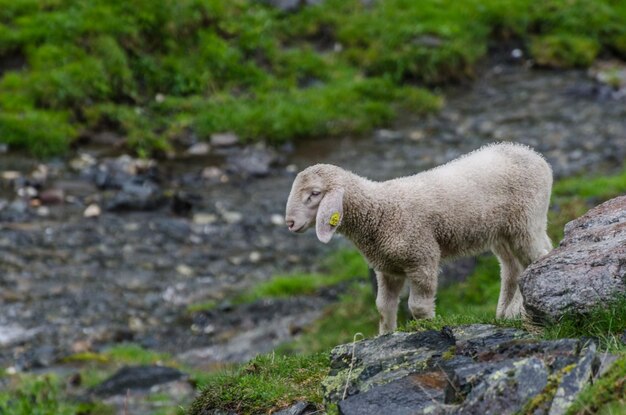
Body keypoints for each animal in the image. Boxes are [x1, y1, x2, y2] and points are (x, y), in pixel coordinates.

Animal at [282, 143, 552, 334]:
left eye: (314, 193)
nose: (290, 223)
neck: (379, 212)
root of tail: (535, 155)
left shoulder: (421, 258)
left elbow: (418, 307)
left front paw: (430, 328)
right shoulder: (387, 269)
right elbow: (383, 307)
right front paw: (385, 335)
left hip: (525, 221)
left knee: (537, 259)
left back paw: (516, 308)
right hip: (505, 232)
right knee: (513, 267)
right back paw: (503, 313)